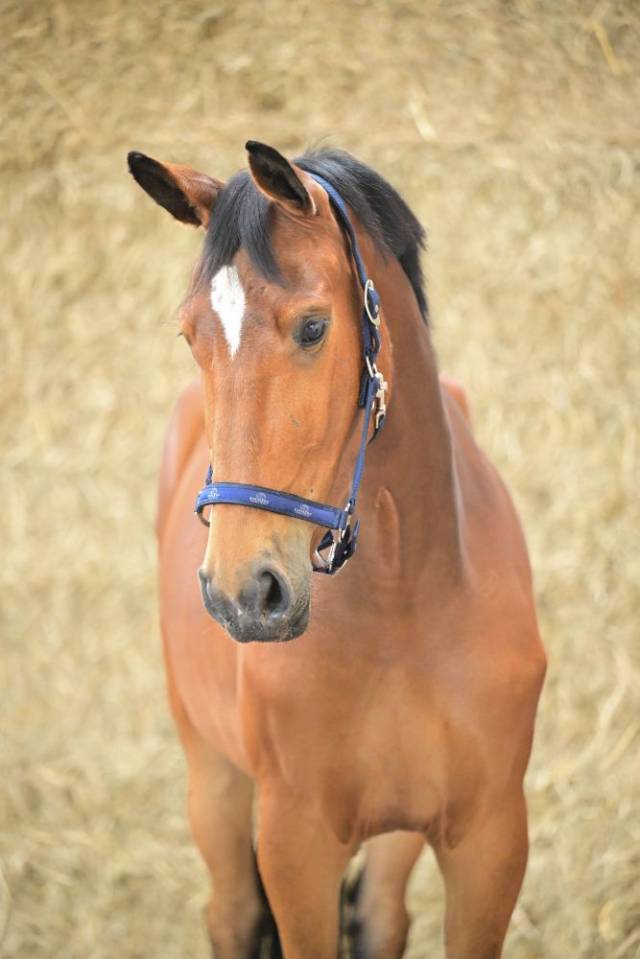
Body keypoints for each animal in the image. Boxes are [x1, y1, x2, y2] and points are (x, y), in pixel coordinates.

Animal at [128, 141, 546, 959]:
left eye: (314, 328)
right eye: (191, 335)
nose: (242, 592)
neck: (406, 603)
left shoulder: (490, 840)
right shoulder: (297, 844)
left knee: (381, 917)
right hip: (213, 775)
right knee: (232, 912)